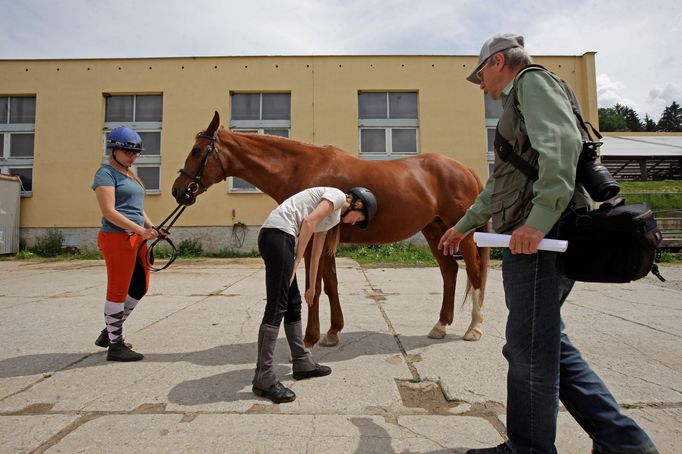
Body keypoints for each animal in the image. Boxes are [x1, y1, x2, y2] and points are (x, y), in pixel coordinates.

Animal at [173, 111, 486, 346]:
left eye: (197, 150)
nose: (178, 190)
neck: (303, 168)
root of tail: (465, 169)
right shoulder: (325, 240)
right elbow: (331, 284)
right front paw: (333, 332)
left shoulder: (313, 239)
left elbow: (316, 285)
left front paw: (310, 338)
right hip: (435, 231)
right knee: (449, 272)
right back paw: (440, 326)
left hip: (463, 234)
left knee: (474, 271)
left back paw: (474, 328)